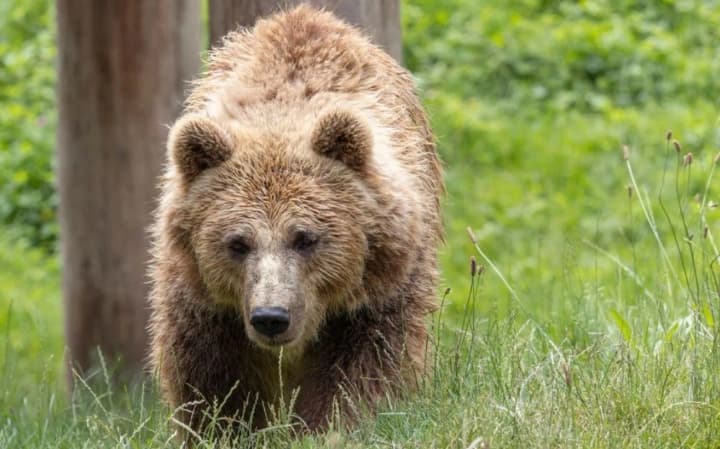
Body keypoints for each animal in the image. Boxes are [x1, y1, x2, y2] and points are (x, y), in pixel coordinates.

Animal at [148, 4, 443, 437]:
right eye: (238, 243)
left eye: (305, 238)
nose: (271, 317)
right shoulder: (203, 299)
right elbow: (212, 376)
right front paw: (227, 427)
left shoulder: (377, 290)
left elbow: (363, 367)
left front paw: (331, 424)